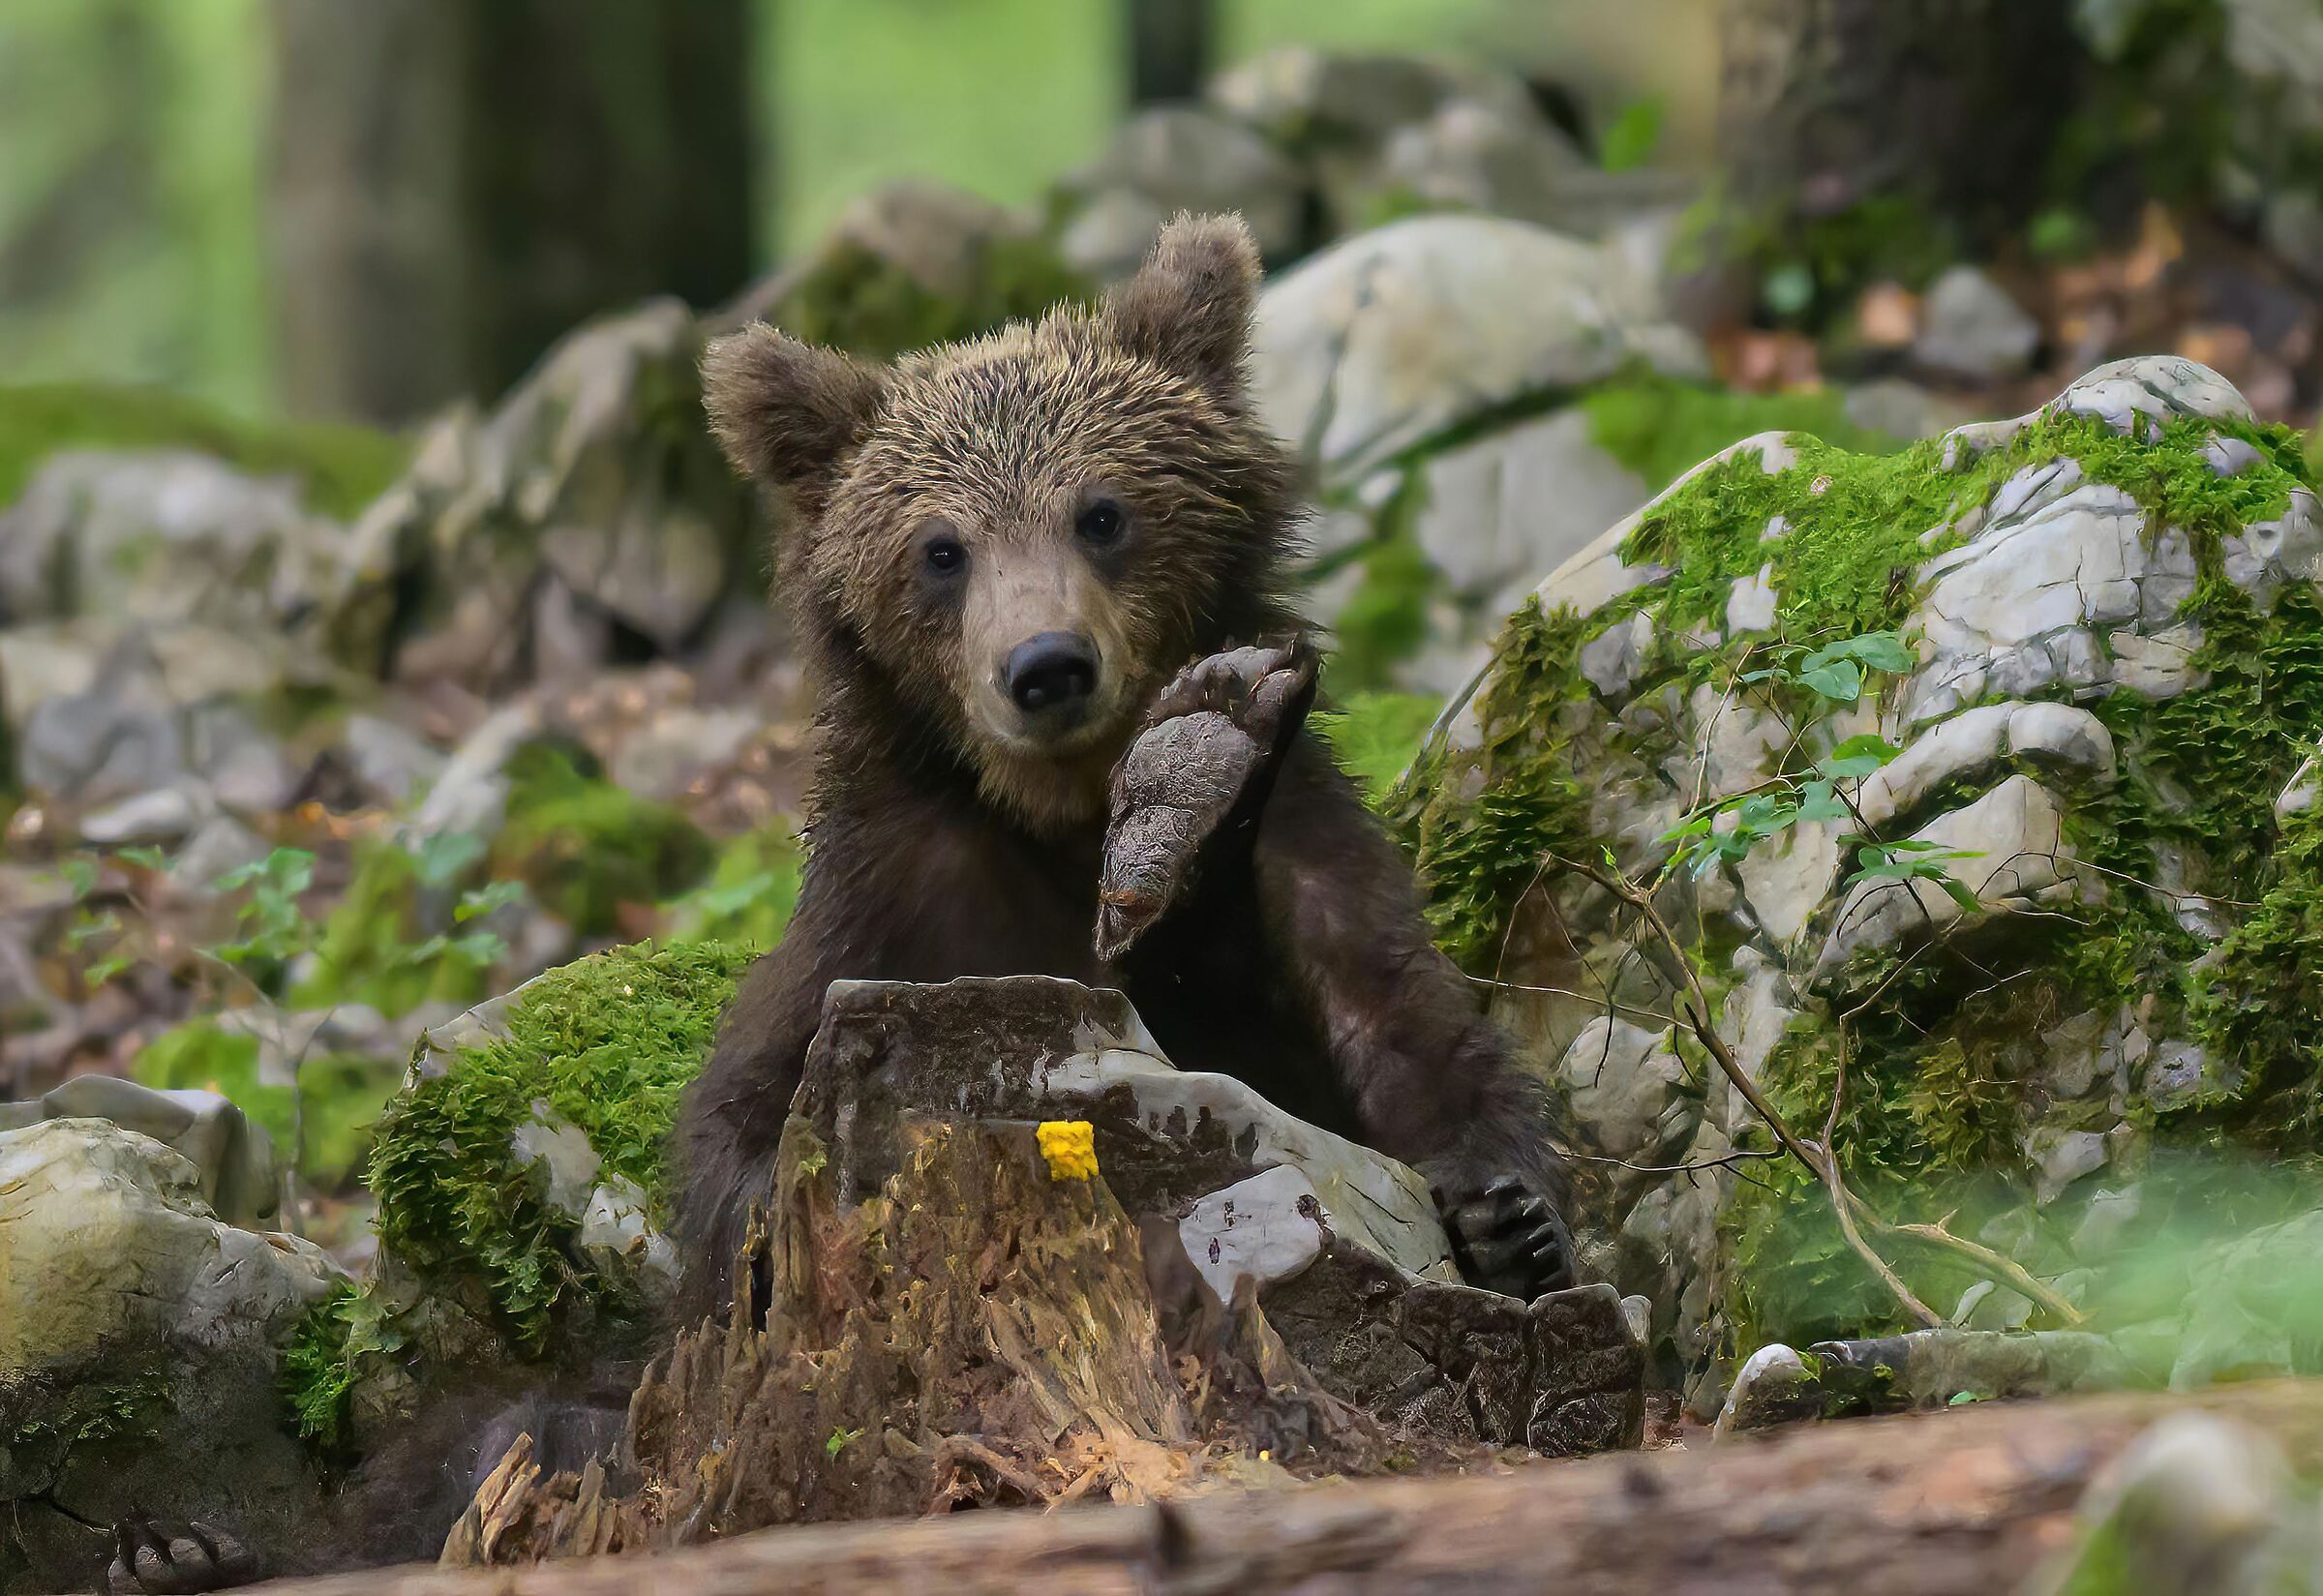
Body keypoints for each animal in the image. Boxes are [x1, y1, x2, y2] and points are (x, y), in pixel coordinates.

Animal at [680, 212, 1573, 1310]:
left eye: (1101, 513)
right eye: (941, 549)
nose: (1046, 664)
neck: (1064, 810)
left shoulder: (1315, 854)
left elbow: (1393, 1033)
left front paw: (1510, 1216)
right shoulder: (889, 904)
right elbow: (747, 1119)